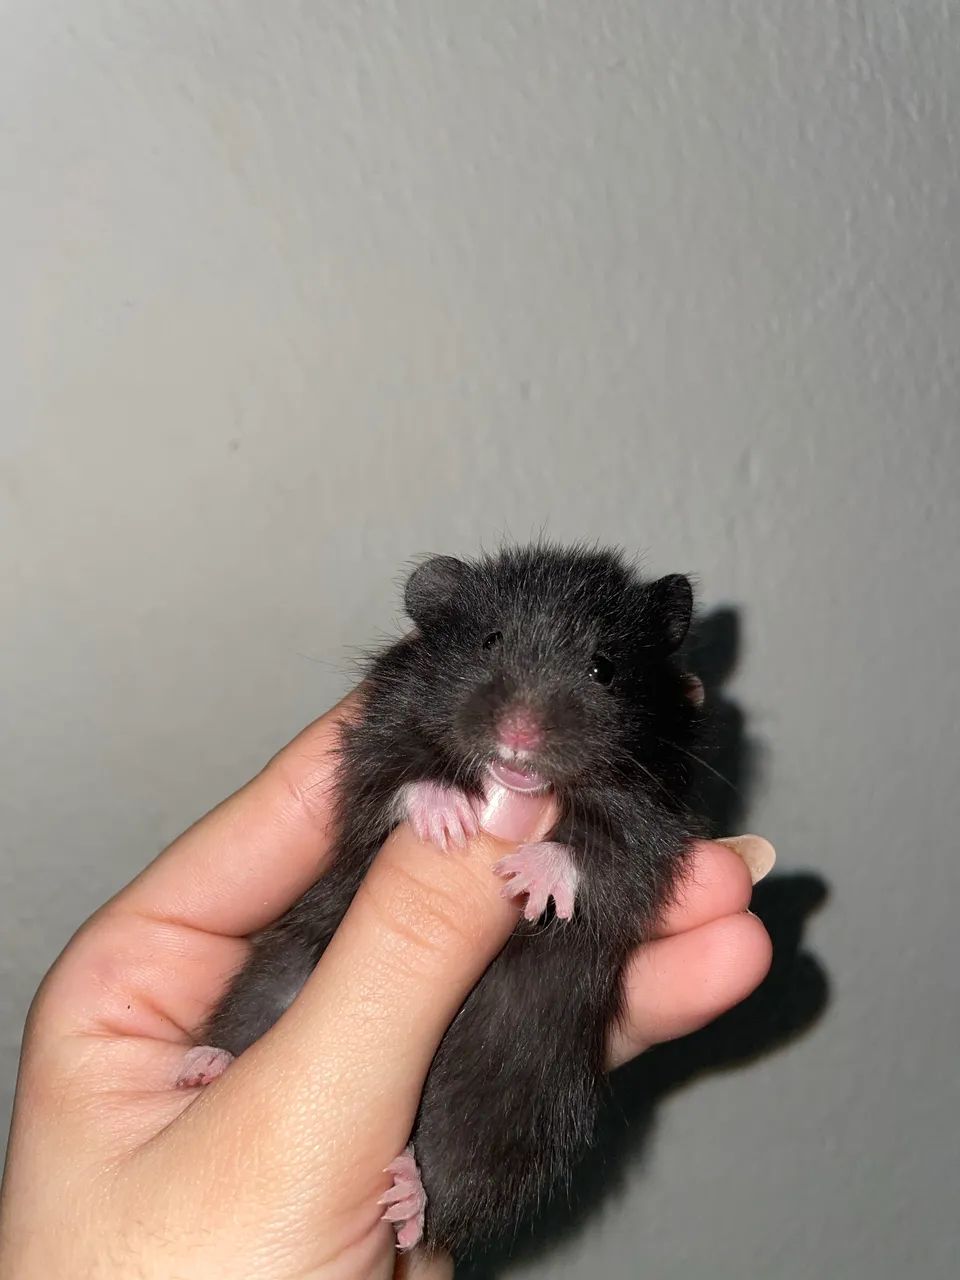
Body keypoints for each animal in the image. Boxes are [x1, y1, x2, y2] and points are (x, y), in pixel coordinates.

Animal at [188, 543, 704, 1256]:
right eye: (490, 642)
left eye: (604, 669)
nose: (520, 738)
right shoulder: (378, 737)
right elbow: (393, 775)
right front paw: (451, 817)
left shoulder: (658, 813)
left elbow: (614, 850)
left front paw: (531, 880)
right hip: (277, 971)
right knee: (248, 1015)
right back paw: (203, 1068)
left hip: (518, 1103)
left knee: (453, 1187)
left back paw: (410, 1192)